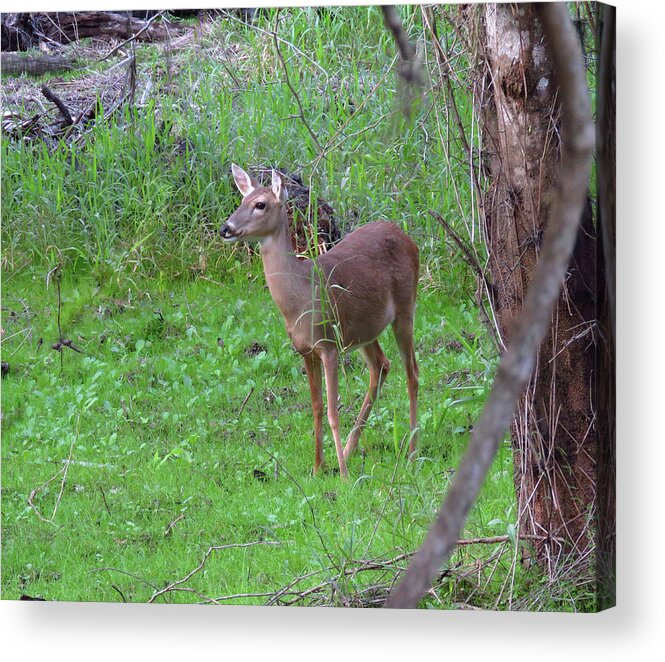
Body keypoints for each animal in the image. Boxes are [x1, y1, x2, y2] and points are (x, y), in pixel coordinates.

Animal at [220, 164, 418, 480]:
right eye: (241, 200)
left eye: (260, 204)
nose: (225, 228)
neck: (299, 298)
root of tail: (408, 239)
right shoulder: (305, 350)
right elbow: (315, 407)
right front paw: (317, 467)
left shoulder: (328, 345)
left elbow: (332, 411)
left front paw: (344, 476)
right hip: (363, 329)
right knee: (381, 365)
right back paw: (350, 450)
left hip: (405, 307)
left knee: (412, 372)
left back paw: (411, 453)